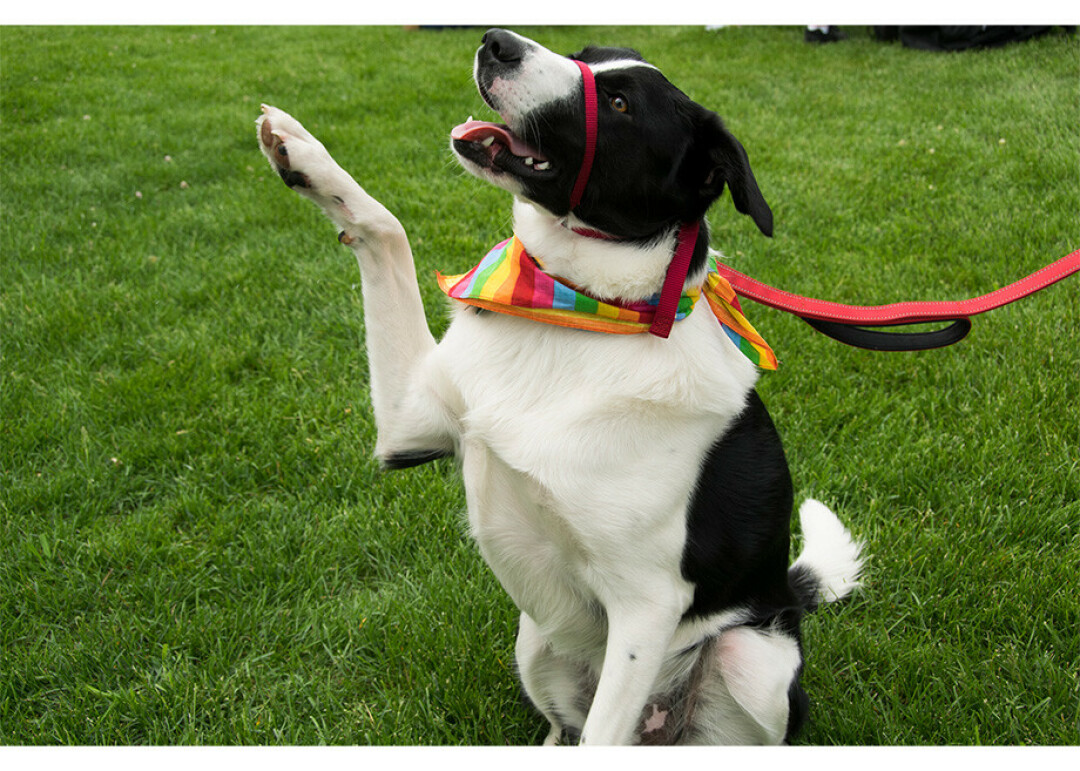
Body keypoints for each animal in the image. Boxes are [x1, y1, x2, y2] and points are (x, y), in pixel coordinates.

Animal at [257, 26, 864, 742]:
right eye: (587, 55)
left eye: (622, 104)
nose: (497, 41)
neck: (578, 312)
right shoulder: (407, 425)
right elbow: (387, 230)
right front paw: (303, 155)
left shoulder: (647, 604)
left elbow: (605, 735)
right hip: (535, 639)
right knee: (564, 724)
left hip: (752, 658)